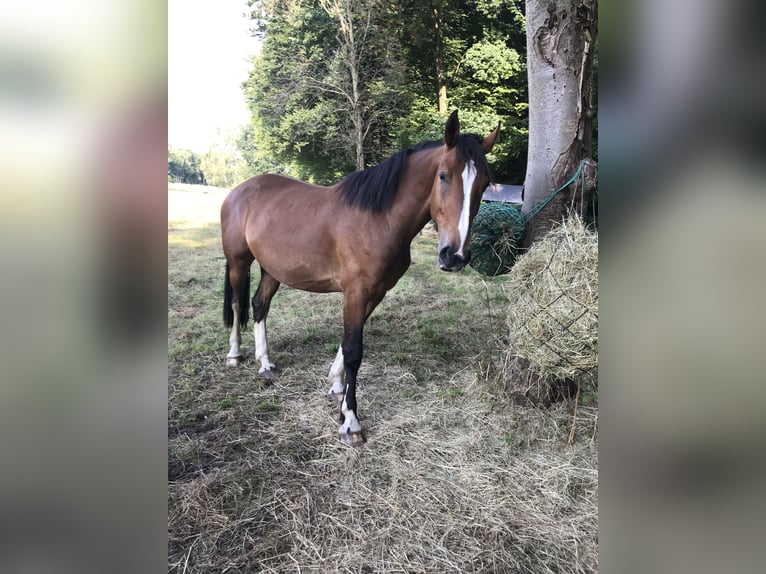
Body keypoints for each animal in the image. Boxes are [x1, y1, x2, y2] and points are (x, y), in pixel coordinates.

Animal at [222, 111, 500, 446]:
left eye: (483, 184)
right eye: (443, 175)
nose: (454, 256)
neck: (378, 219)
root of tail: (240, 190)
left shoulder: (375, 292)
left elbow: (346, 345)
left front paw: (336, 387)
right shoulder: (356, 291)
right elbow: (354, 351)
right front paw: (351, 421)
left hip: (271, 269)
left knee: (259, 305)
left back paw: (265, 363)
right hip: (238, 262)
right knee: (237, 305)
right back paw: (234, 355)